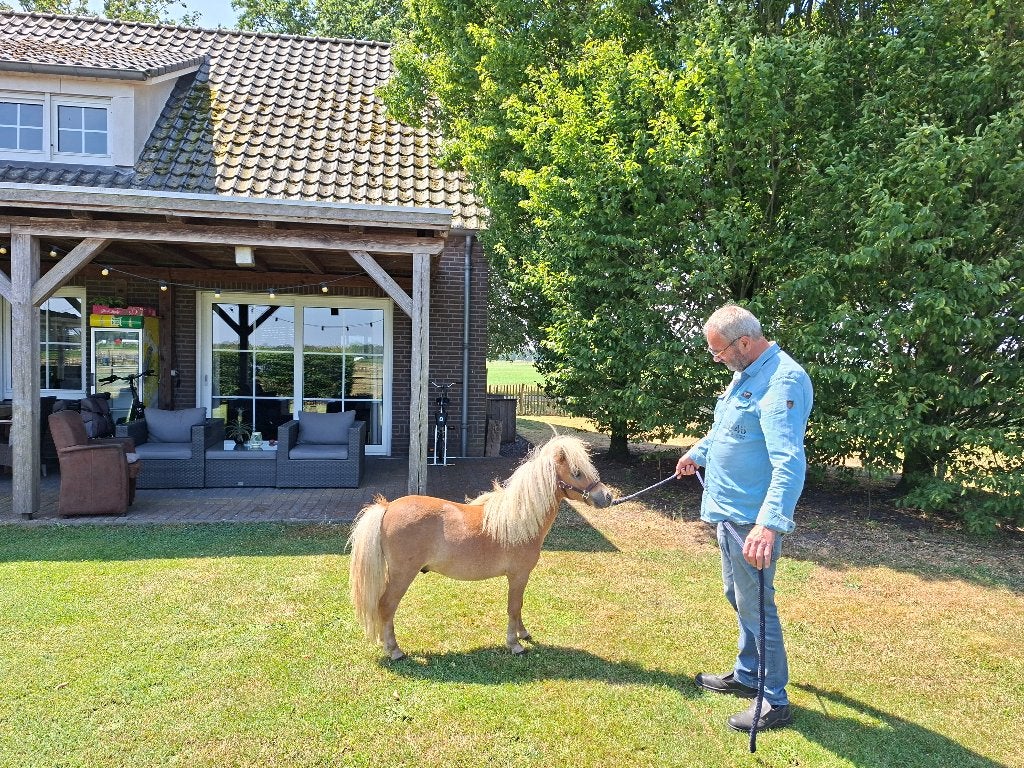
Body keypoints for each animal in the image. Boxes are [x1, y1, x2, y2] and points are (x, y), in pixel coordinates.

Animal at [348, 435, 613, 660]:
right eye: (577, 472)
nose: (607, 497)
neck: (520, 520)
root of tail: (387, 507)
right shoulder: (518, 576)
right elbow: (513, 607)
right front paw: (514, 644)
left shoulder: (520, 578)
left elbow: (518, 607)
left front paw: (523, 633)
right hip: (402, 575)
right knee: (386, 606)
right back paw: (394, 650)